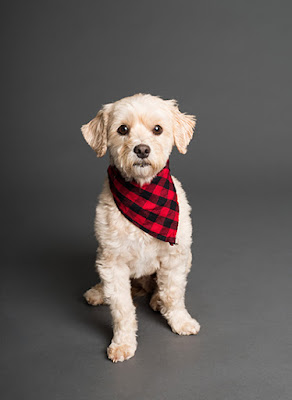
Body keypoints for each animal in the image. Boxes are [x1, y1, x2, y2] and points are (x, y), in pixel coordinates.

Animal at [82, 94, 201, 362]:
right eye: (122, 129)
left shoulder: (175, 256)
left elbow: (173, 293)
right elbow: (121, 308)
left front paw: (180, 321)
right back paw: (98, 293)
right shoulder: (112, 262)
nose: (142, 149)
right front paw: (123, 342)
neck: (142, 193)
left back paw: (156, 300)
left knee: (159, 288)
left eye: (157, 129)